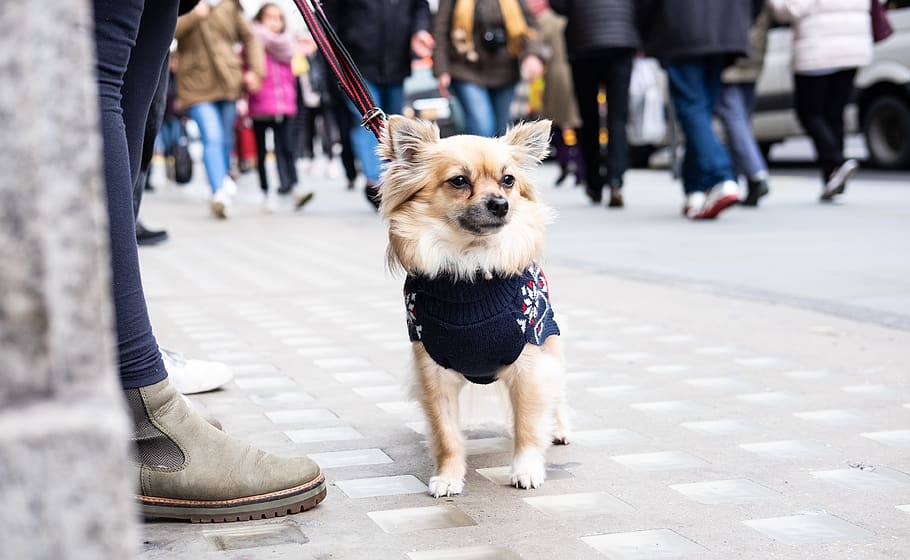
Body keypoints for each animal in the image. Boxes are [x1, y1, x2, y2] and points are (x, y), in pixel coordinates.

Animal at [378, 116, 568, 496]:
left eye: (508, 180)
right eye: (459, 181)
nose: (500, 204)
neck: (471, 265)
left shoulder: (528, 365)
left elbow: (528, 424)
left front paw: (526, 470)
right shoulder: (433, 372)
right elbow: (446, 434)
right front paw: (448, 476)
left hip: (550, 343)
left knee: (556, 392)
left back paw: (559, 429)